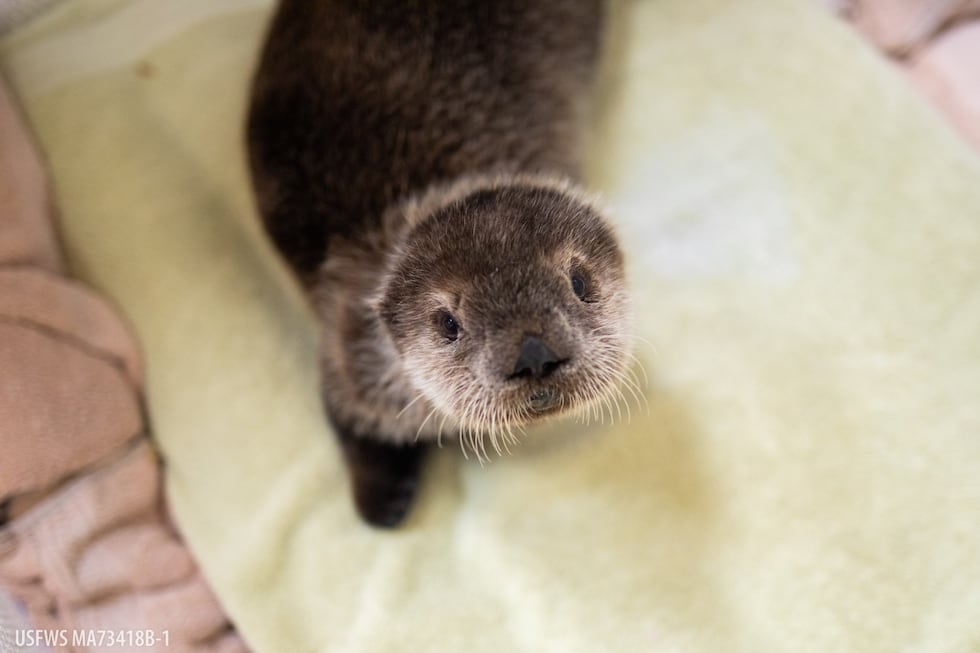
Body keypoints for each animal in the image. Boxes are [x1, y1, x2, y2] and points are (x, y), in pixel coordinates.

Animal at [247, 0, 633, 527]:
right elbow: (342, 417)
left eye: (579, 281)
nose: (533, 353)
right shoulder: (345, 350)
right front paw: (382, 501)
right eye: (448, 323)